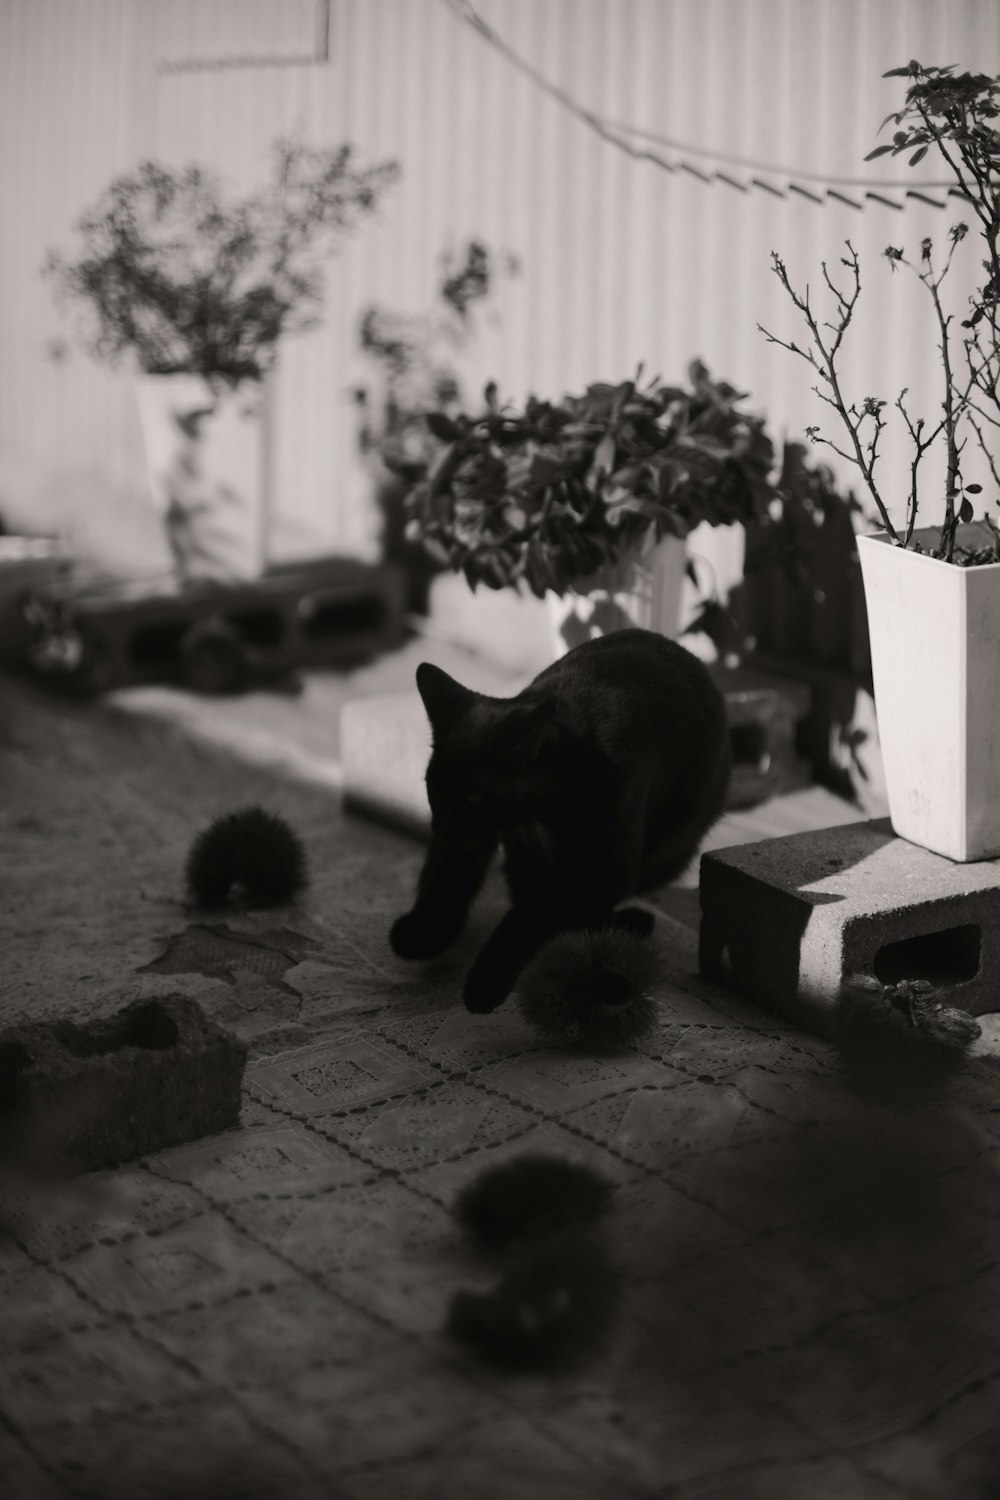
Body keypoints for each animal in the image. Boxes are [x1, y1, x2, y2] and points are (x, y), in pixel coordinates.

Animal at [389, 627, 728, 1014]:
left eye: (474, 796)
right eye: (433, 786)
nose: (439, 827)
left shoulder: (603, 867)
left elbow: (533, 915)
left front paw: (486, 982)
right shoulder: (483, 837)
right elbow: (447, 878)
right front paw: (422, 934)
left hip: (668, 856)